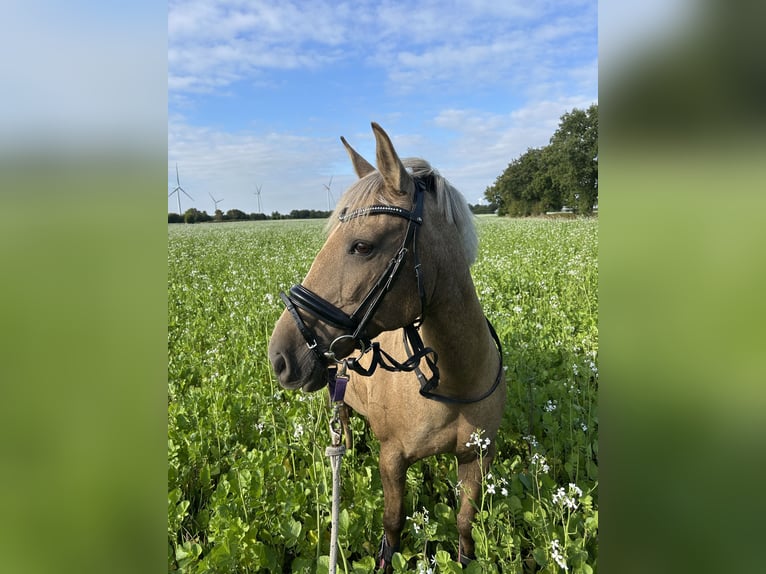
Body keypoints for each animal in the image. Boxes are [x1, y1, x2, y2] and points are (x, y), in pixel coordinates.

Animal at [268, 122, 506, 569]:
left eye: (362, 246)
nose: (279, 356)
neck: (454, 382)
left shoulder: (476, 458)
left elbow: (465, 524)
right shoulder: (392, 458)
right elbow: (393, 522)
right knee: (341, 422)